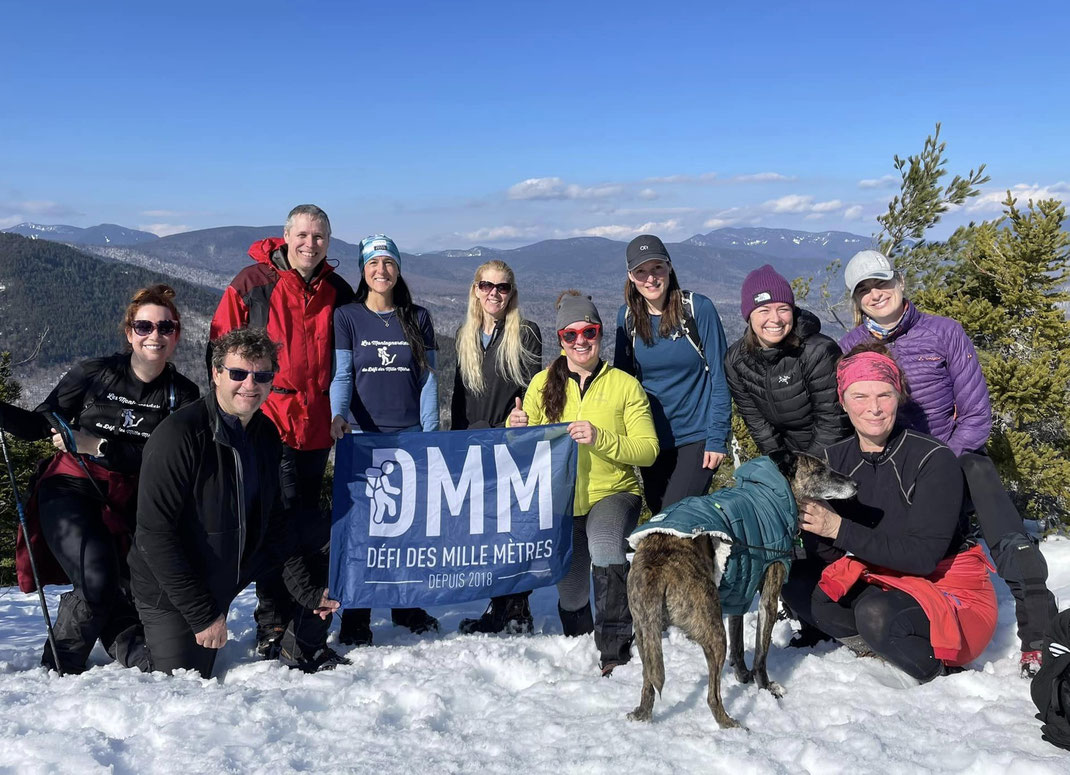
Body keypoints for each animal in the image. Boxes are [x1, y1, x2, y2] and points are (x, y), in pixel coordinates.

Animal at [624, 447, 851, 727]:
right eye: (820, 470)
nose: (855, 484)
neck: (772, 493)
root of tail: (657, 566)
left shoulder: (740, 593)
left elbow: (739, 641)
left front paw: (743, 675)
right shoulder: (768, 597)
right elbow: (761, 653)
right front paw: (766, 688)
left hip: (645, 635)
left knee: (648, 684)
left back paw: (642, 714)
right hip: (712, 631)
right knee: (712, 696)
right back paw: (729, 723)